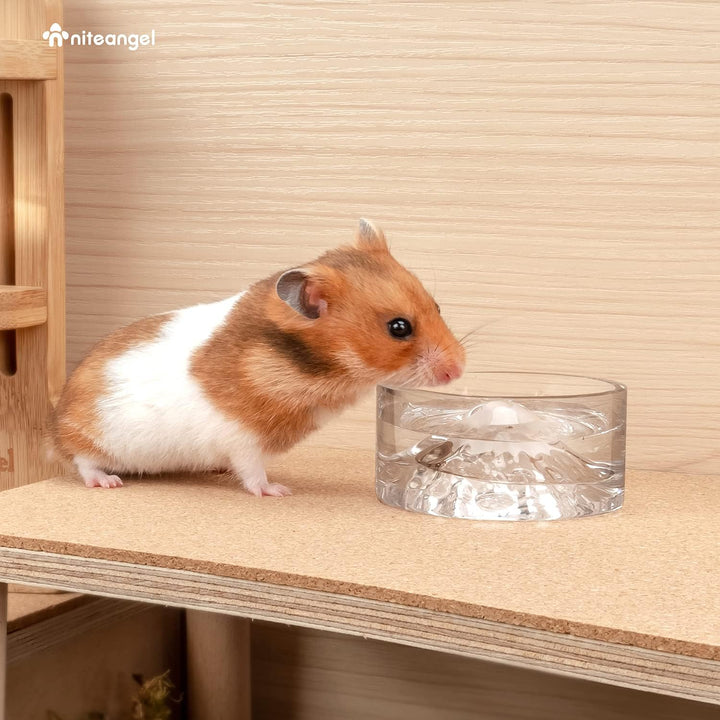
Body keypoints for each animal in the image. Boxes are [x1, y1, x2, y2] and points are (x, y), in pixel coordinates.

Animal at [51, 219, 466, 496]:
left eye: (437, 306)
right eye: (399, 327)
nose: (459, 370)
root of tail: (56, 421)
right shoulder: (242, 439)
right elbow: (253, 473)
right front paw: (279, 491)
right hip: (90, 438)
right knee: (82, 461)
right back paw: (107, 481)